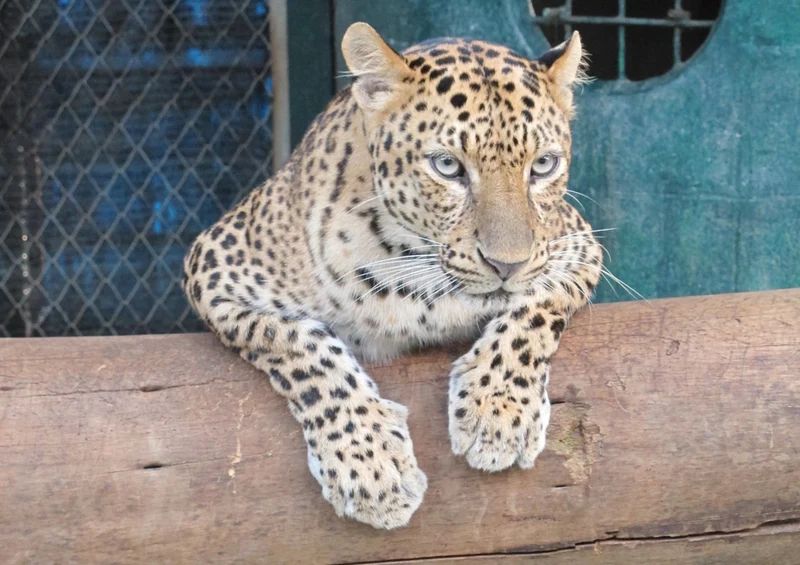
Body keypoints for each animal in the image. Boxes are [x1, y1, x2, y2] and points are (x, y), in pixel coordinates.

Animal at [183, 22, 602, 530]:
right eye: (447, 166)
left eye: (543, 165)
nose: (507, 265)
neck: (413, 279)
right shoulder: (213, 266)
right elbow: (296, 343)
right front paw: (369, 462)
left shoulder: (576, 244)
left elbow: (536, 309)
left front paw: (498, 410)